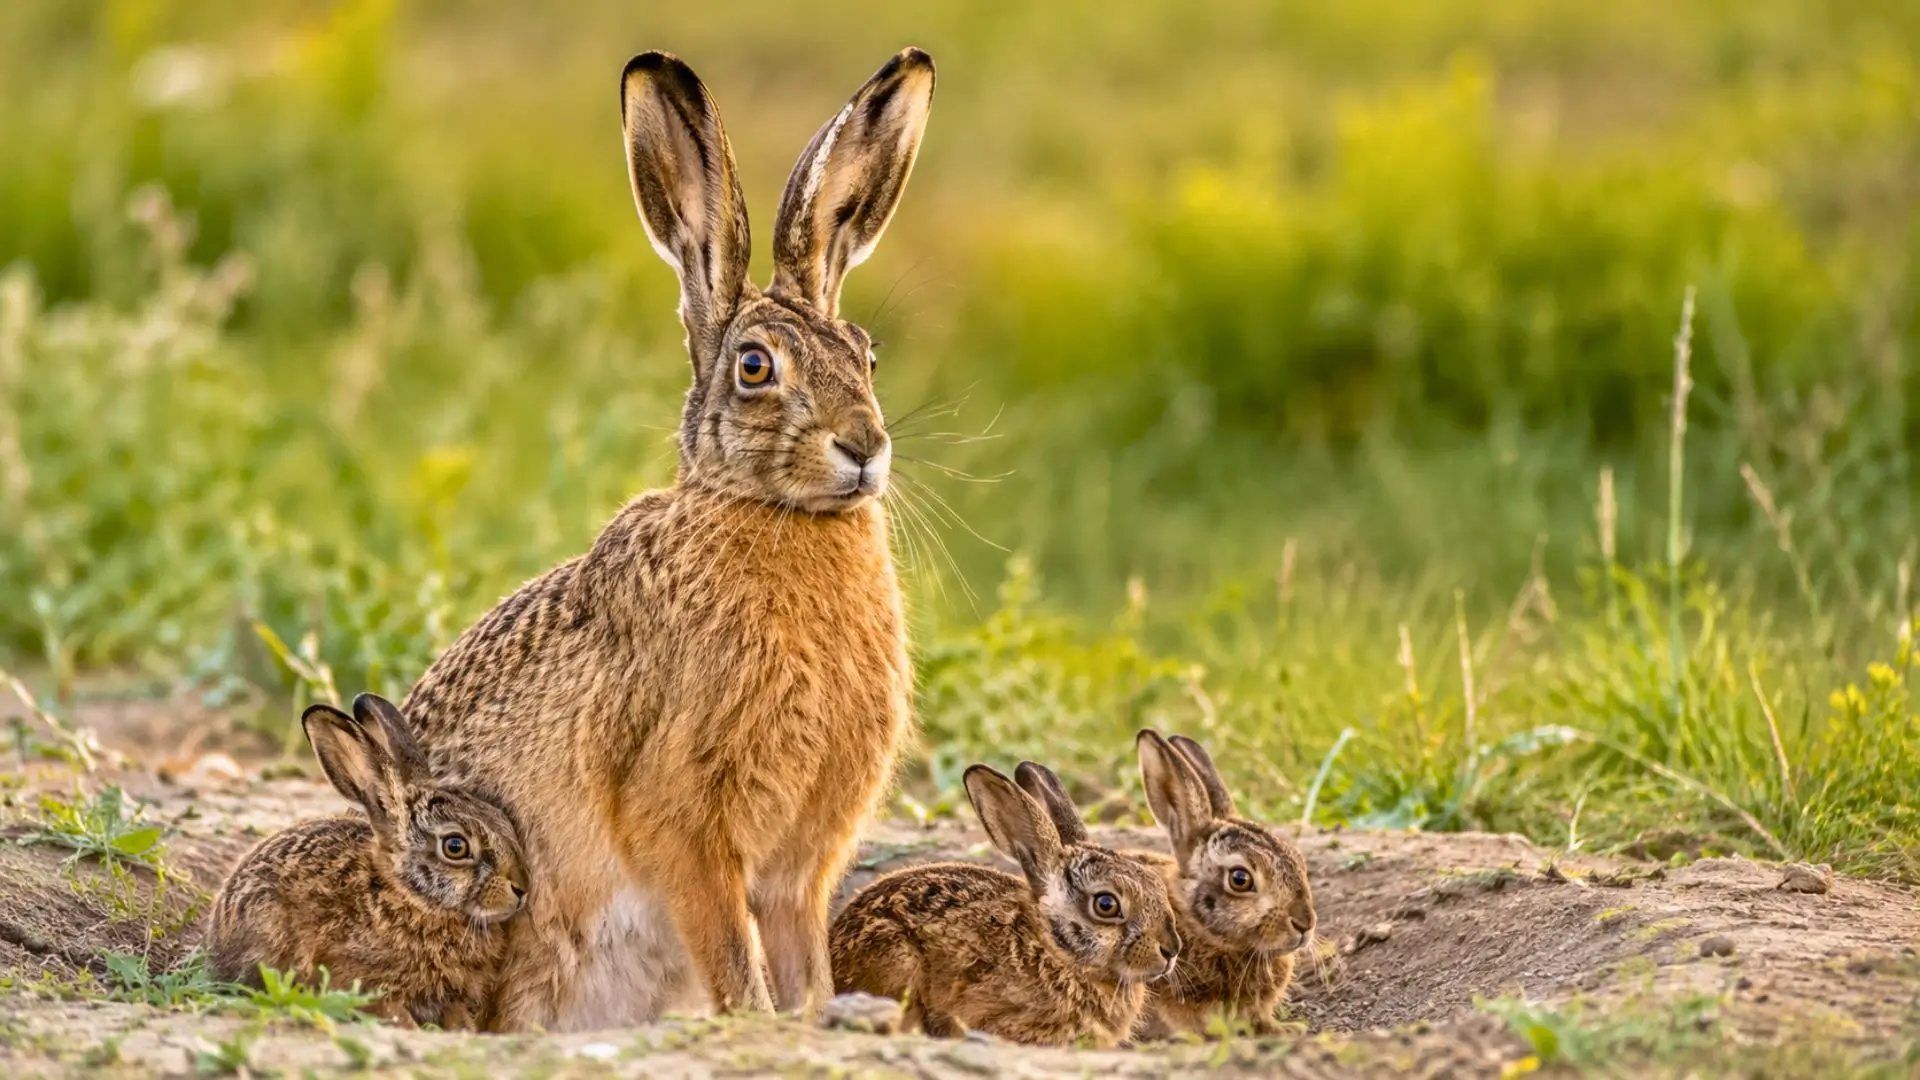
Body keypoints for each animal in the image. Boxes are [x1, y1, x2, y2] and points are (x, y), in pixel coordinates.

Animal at [392, 48, 936, 1030]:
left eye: (867, 355)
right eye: (755, 367)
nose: (865, 448)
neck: (776, 515)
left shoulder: (802, 860)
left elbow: (799, 948)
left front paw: (819, 1015)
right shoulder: (683, 816)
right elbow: (725, 938)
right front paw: (756, 1019)